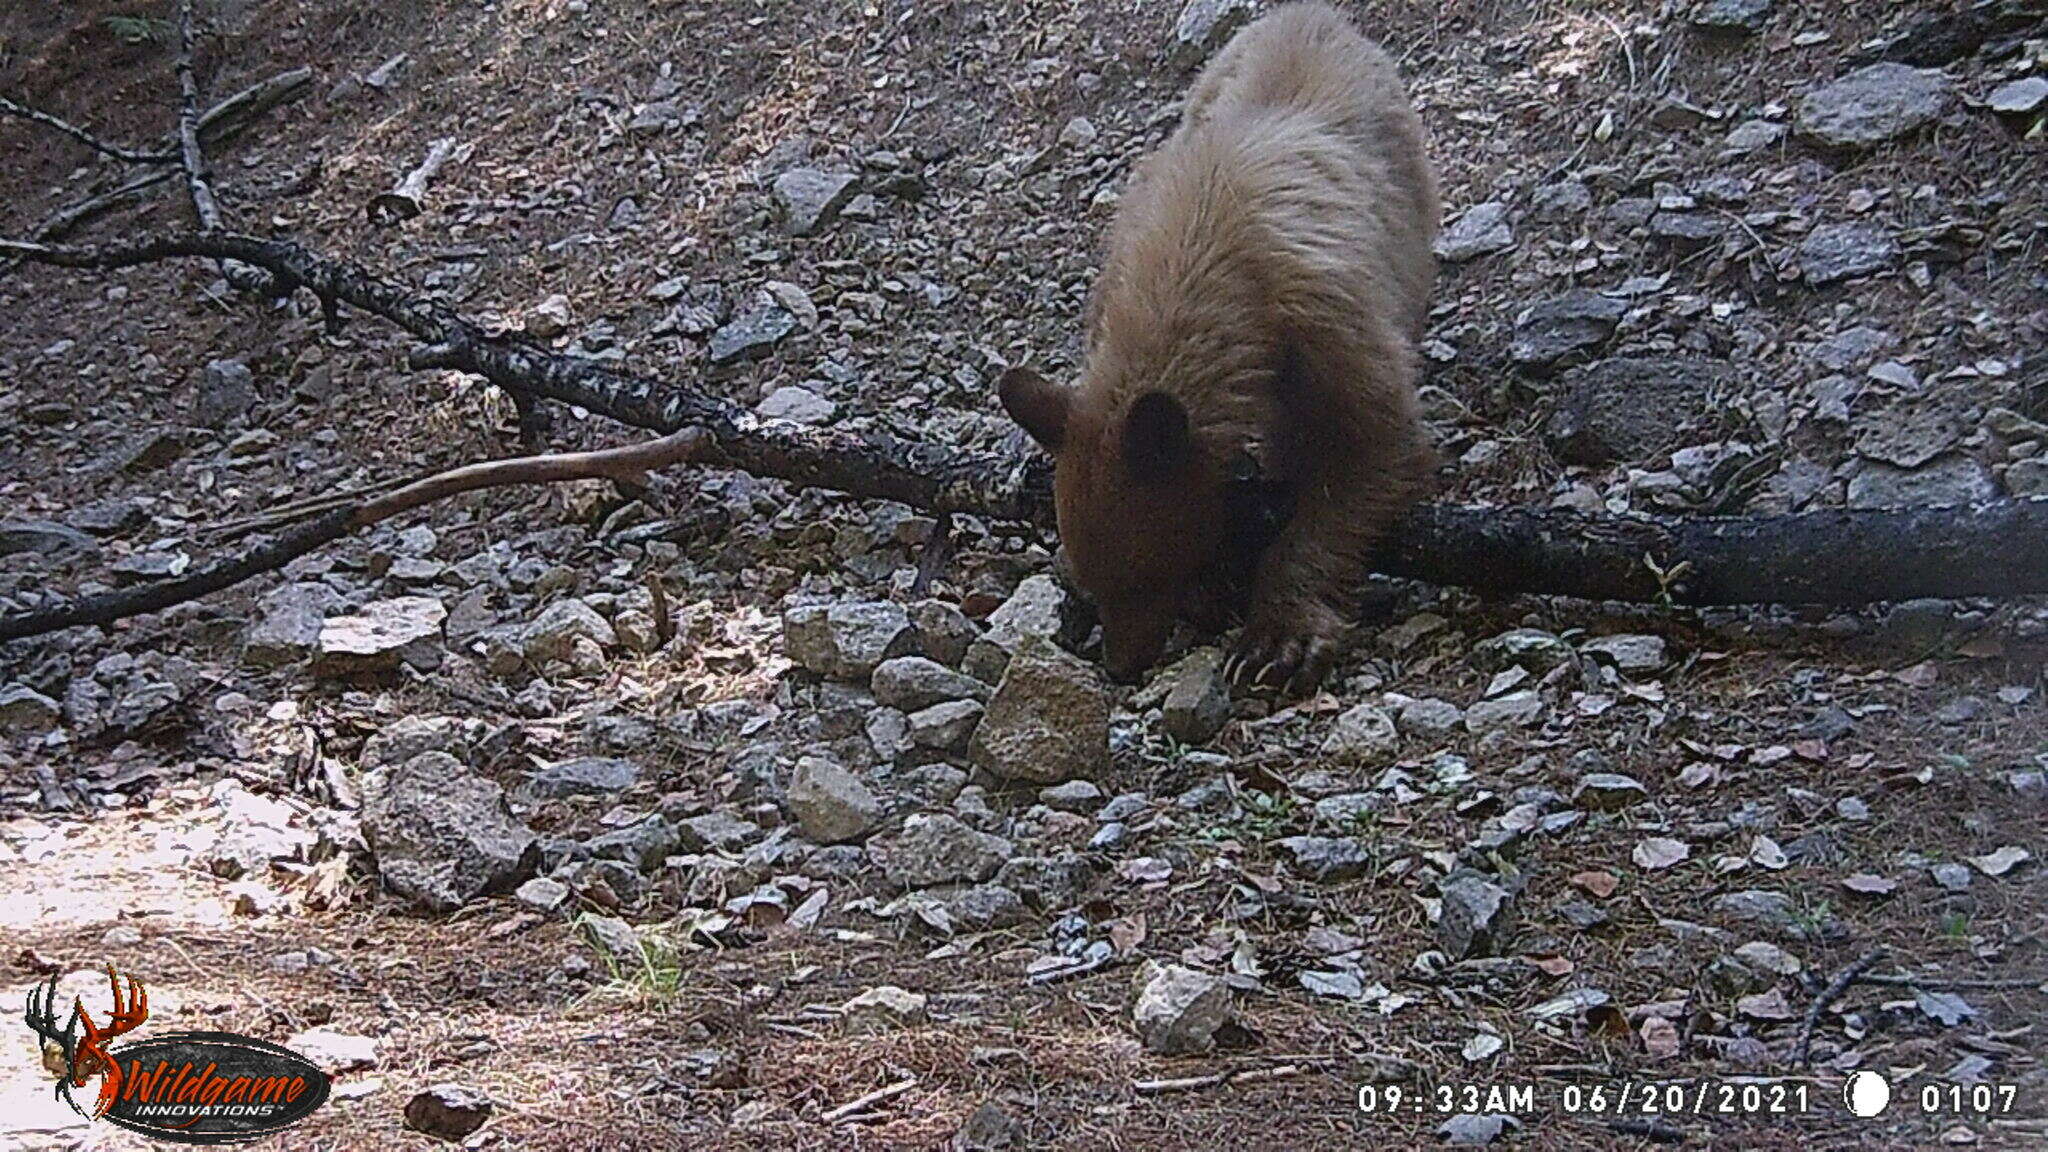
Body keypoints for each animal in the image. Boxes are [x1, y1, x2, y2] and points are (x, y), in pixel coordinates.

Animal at [999, 0, 1433, 688]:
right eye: (1093, 585)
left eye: (1147, 577)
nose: (1122, 668)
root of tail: (1308, 13)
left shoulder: (1329, 325)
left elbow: (1375, 450)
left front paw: (1279, 634)